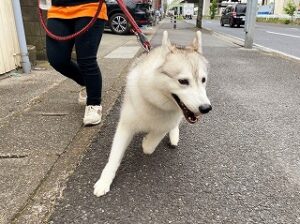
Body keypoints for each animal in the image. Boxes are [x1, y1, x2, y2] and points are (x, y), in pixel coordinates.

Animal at [93, 30, 211, 197]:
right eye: (183, 81)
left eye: (203, 80)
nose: (206, 108)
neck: (156, 102)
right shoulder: (125, 126)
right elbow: (114, 156)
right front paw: (104, 181)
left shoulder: (165, 124)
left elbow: (150, 145)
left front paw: (147, 140)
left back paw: (173, 136)